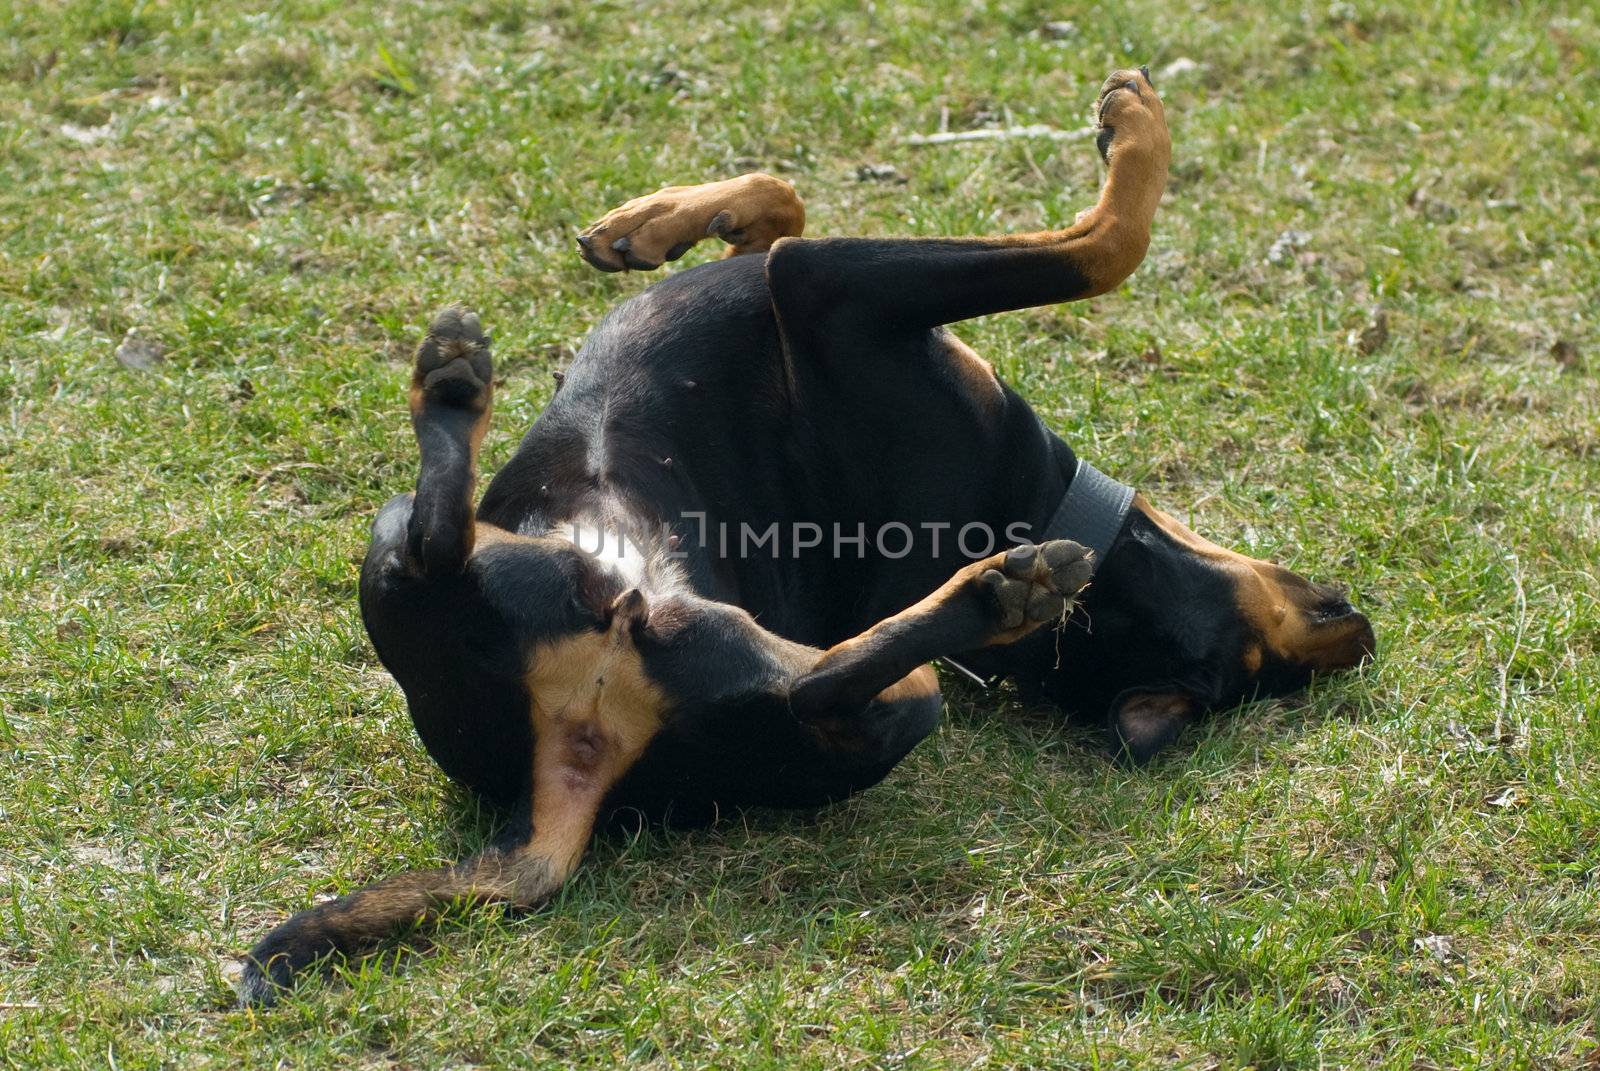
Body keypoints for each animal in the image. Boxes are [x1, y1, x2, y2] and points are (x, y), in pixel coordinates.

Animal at [236, 68, 1376, 1005]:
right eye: (1257, 667)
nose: (1357, 632)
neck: (1045, 506)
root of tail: (571, 765)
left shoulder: (820, 283)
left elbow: (1100, 248)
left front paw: (1131, 122)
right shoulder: (816, 284)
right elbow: (792, 200)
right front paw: (648, 227)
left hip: (625, 616)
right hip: (869, 699)